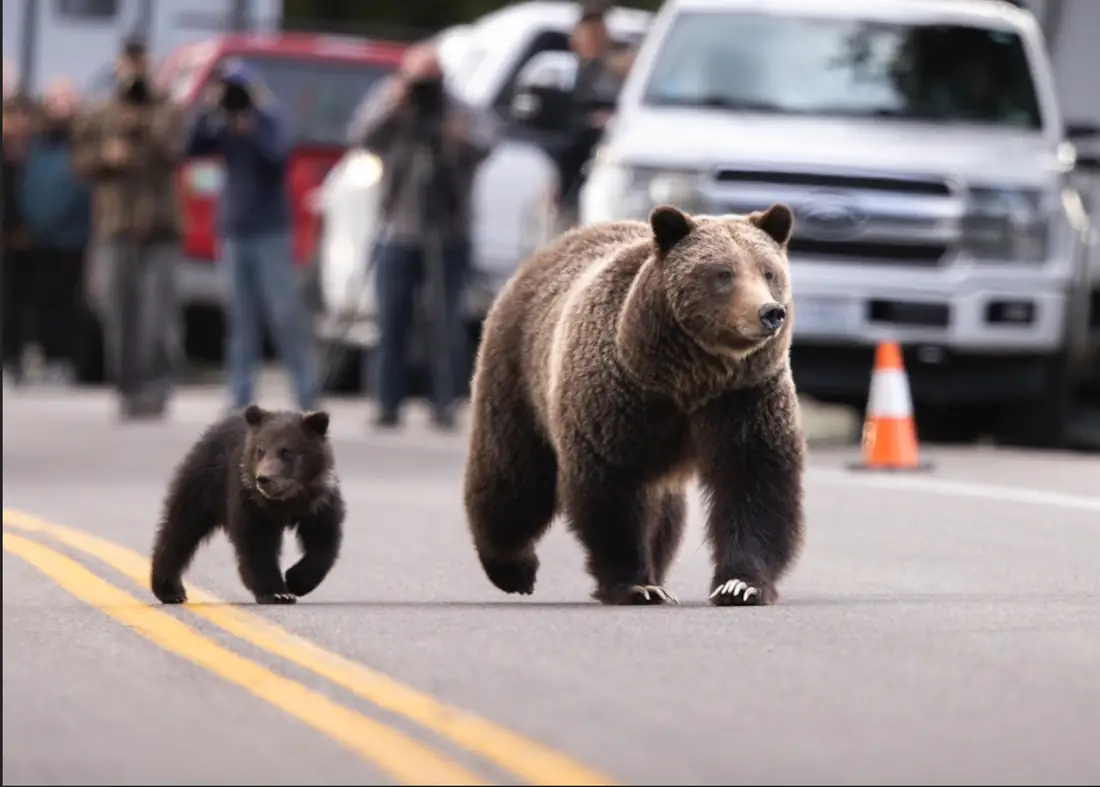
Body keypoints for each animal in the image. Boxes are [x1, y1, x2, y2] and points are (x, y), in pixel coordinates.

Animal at [150, 404, 346, 605]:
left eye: (286, 451)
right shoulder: (251, 503)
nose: (264, 479)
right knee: (182, 528)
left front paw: (296, 580)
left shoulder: (319, 503)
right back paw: (170, 590)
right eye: (260, 450)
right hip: (204, 482)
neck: (286, 502)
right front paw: (277, 592)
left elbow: (323, 541)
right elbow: (257, 545)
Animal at [463, 202, 805, 606]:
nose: (770, 312)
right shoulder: (620, 401)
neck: (686, 379)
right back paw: (511, 567)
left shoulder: (743, 396)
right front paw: (636, 584)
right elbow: (613, 492)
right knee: (514, 477)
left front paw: (740, 585)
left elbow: (755, 483)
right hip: (519, 371)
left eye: (768, 271)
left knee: (664, 510)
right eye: (723, 273)